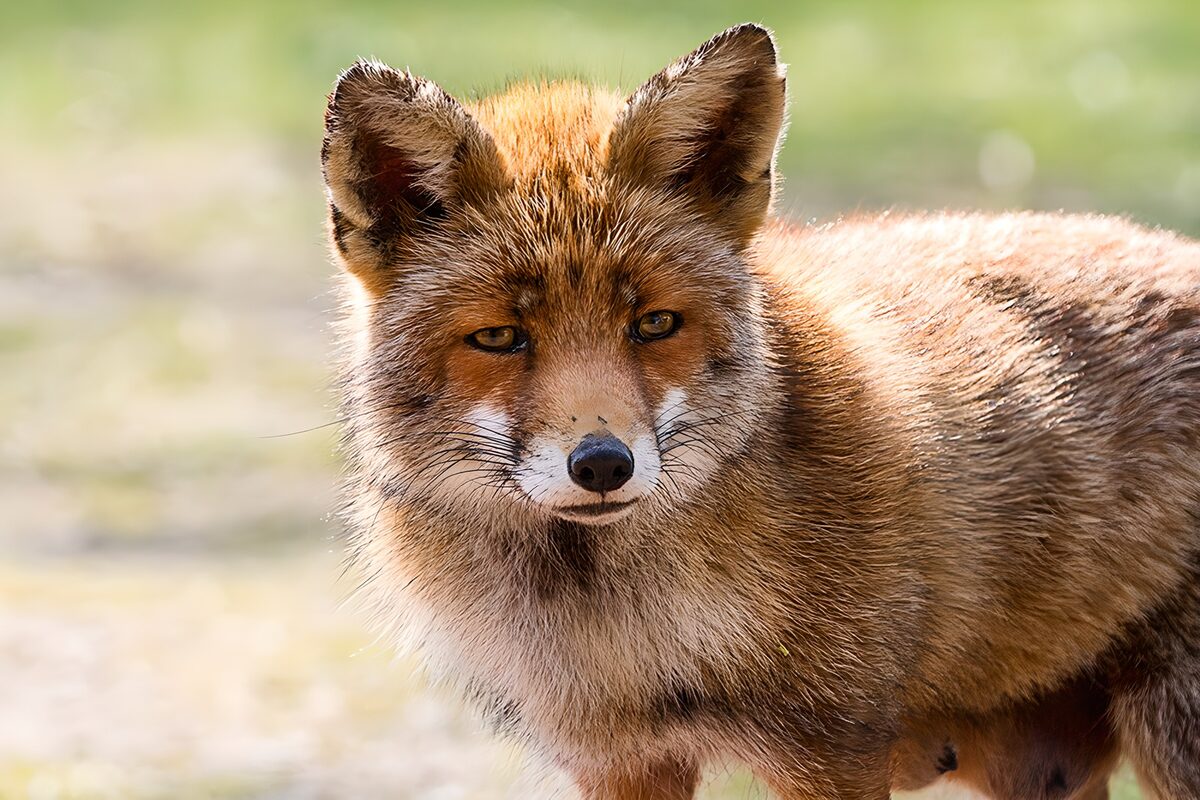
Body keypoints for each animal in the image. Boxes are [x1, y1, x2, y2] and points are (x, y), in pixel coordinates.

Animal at [321, 23, 1200, 800]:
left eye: (655, 324)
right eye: (501, 337)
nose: (603, 464)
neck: (626, 638)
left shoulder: (830, 752)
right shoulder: (619, 761)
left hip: (1167, 742)